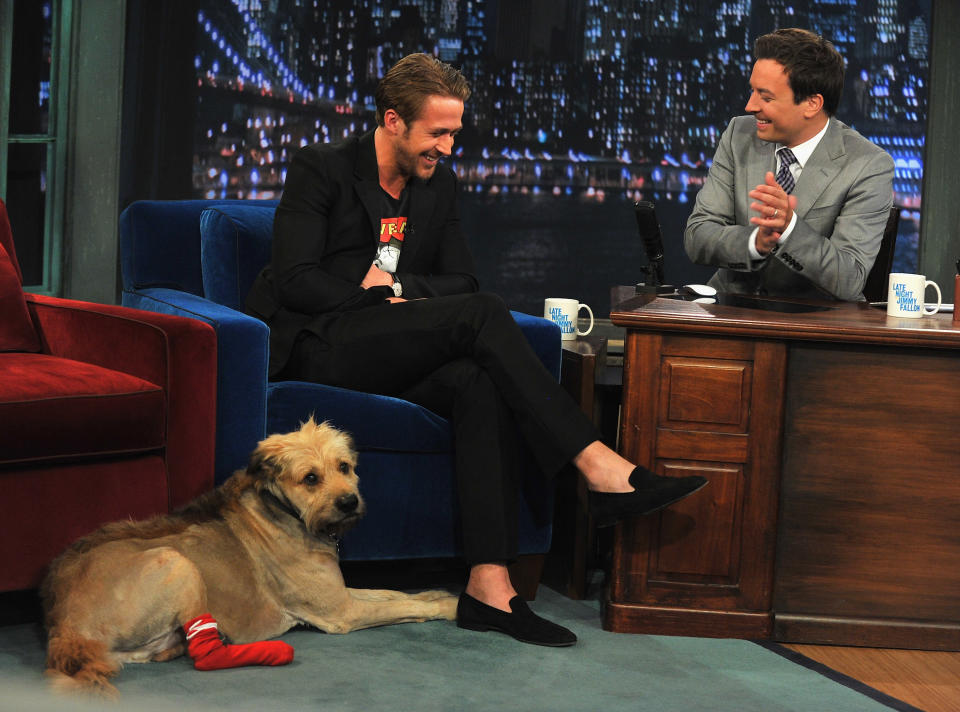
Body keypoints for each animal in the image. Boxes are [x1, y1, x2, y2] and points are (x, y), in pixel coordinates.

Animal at [44, 418, 462, 696]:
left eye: (344, 467)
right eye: (311, 478)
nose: (349, 502)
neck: (286, 510)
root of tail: (62, 625)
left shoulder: (341, 594)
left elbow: (395, 594)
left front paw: (437, 592)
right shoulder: (341, 612)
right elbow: (402, 606)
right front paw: (453, 606)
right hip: (176, 562)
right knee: (205, 656)